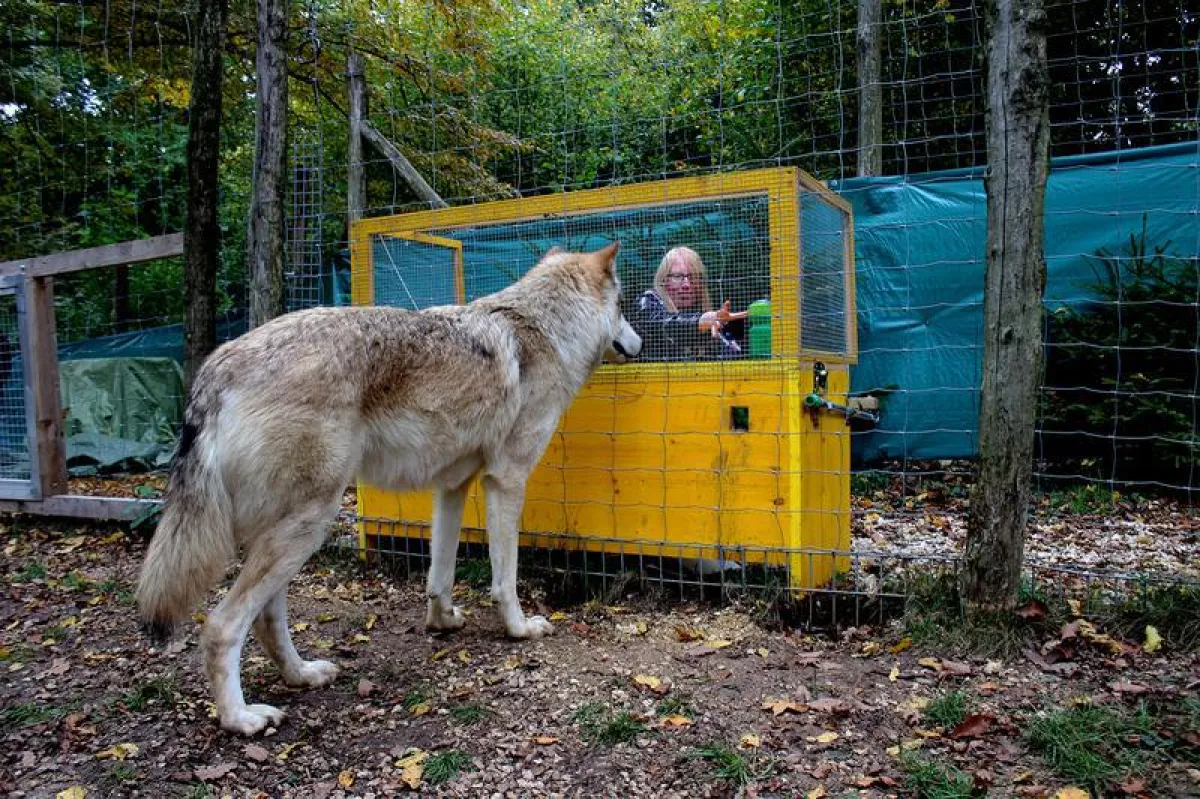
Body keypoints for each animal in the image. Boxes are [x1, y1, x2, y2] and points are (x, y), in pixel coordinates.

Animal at [136, 242, 641, 735]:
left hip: (288, 534)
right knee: (222, 626)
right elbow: (505, 578)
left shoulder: (452, 486)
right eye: (623, 306)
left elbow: (440, 574)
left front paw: (442, 621)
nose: (638, 343)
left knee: (265, 617)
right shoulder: (506, 480)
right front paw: (520, 629)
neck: (547, 330)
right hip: (308, 524)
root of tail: (215, 370)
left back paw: (302, 675)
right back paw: (241, 718)